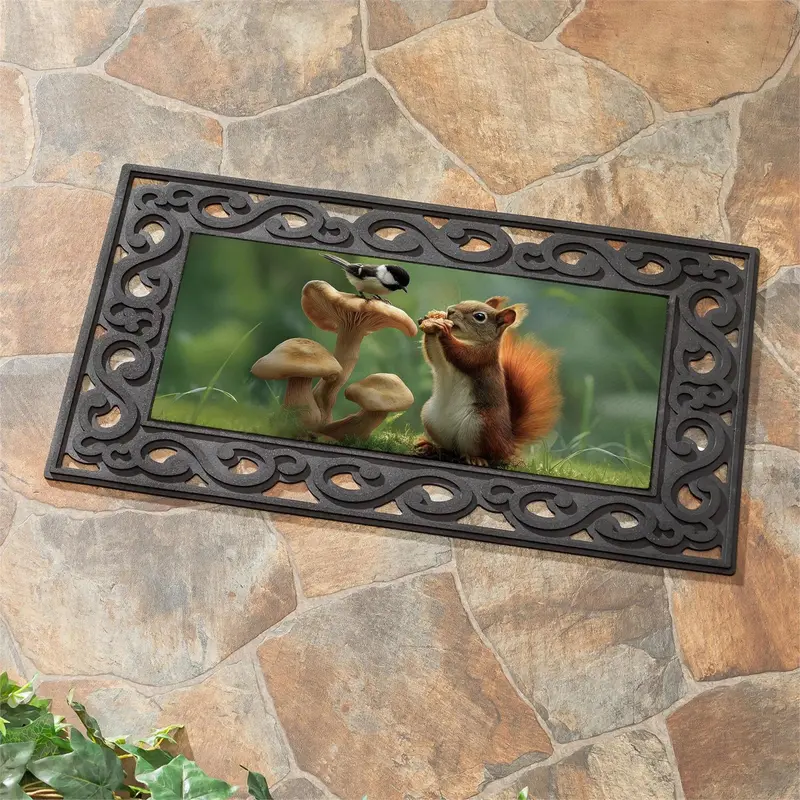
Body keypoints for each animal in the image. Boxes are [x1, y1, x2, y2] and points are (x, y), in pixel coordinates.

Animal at [418, 296, 561, 467]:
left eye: (480, 317)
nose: (450, 310)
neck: (469, 341)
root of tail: (507, 444)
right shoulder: (442, 362)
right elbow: (433, 355)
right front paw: (432, 319)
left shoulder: (482, 357)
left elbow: (461, 356)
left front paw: (444, 331)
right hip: (431, 417)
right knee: (450, 449)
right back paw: (431, 446)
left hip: (482, 426)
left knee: (486, 454)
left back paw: (476, 458)